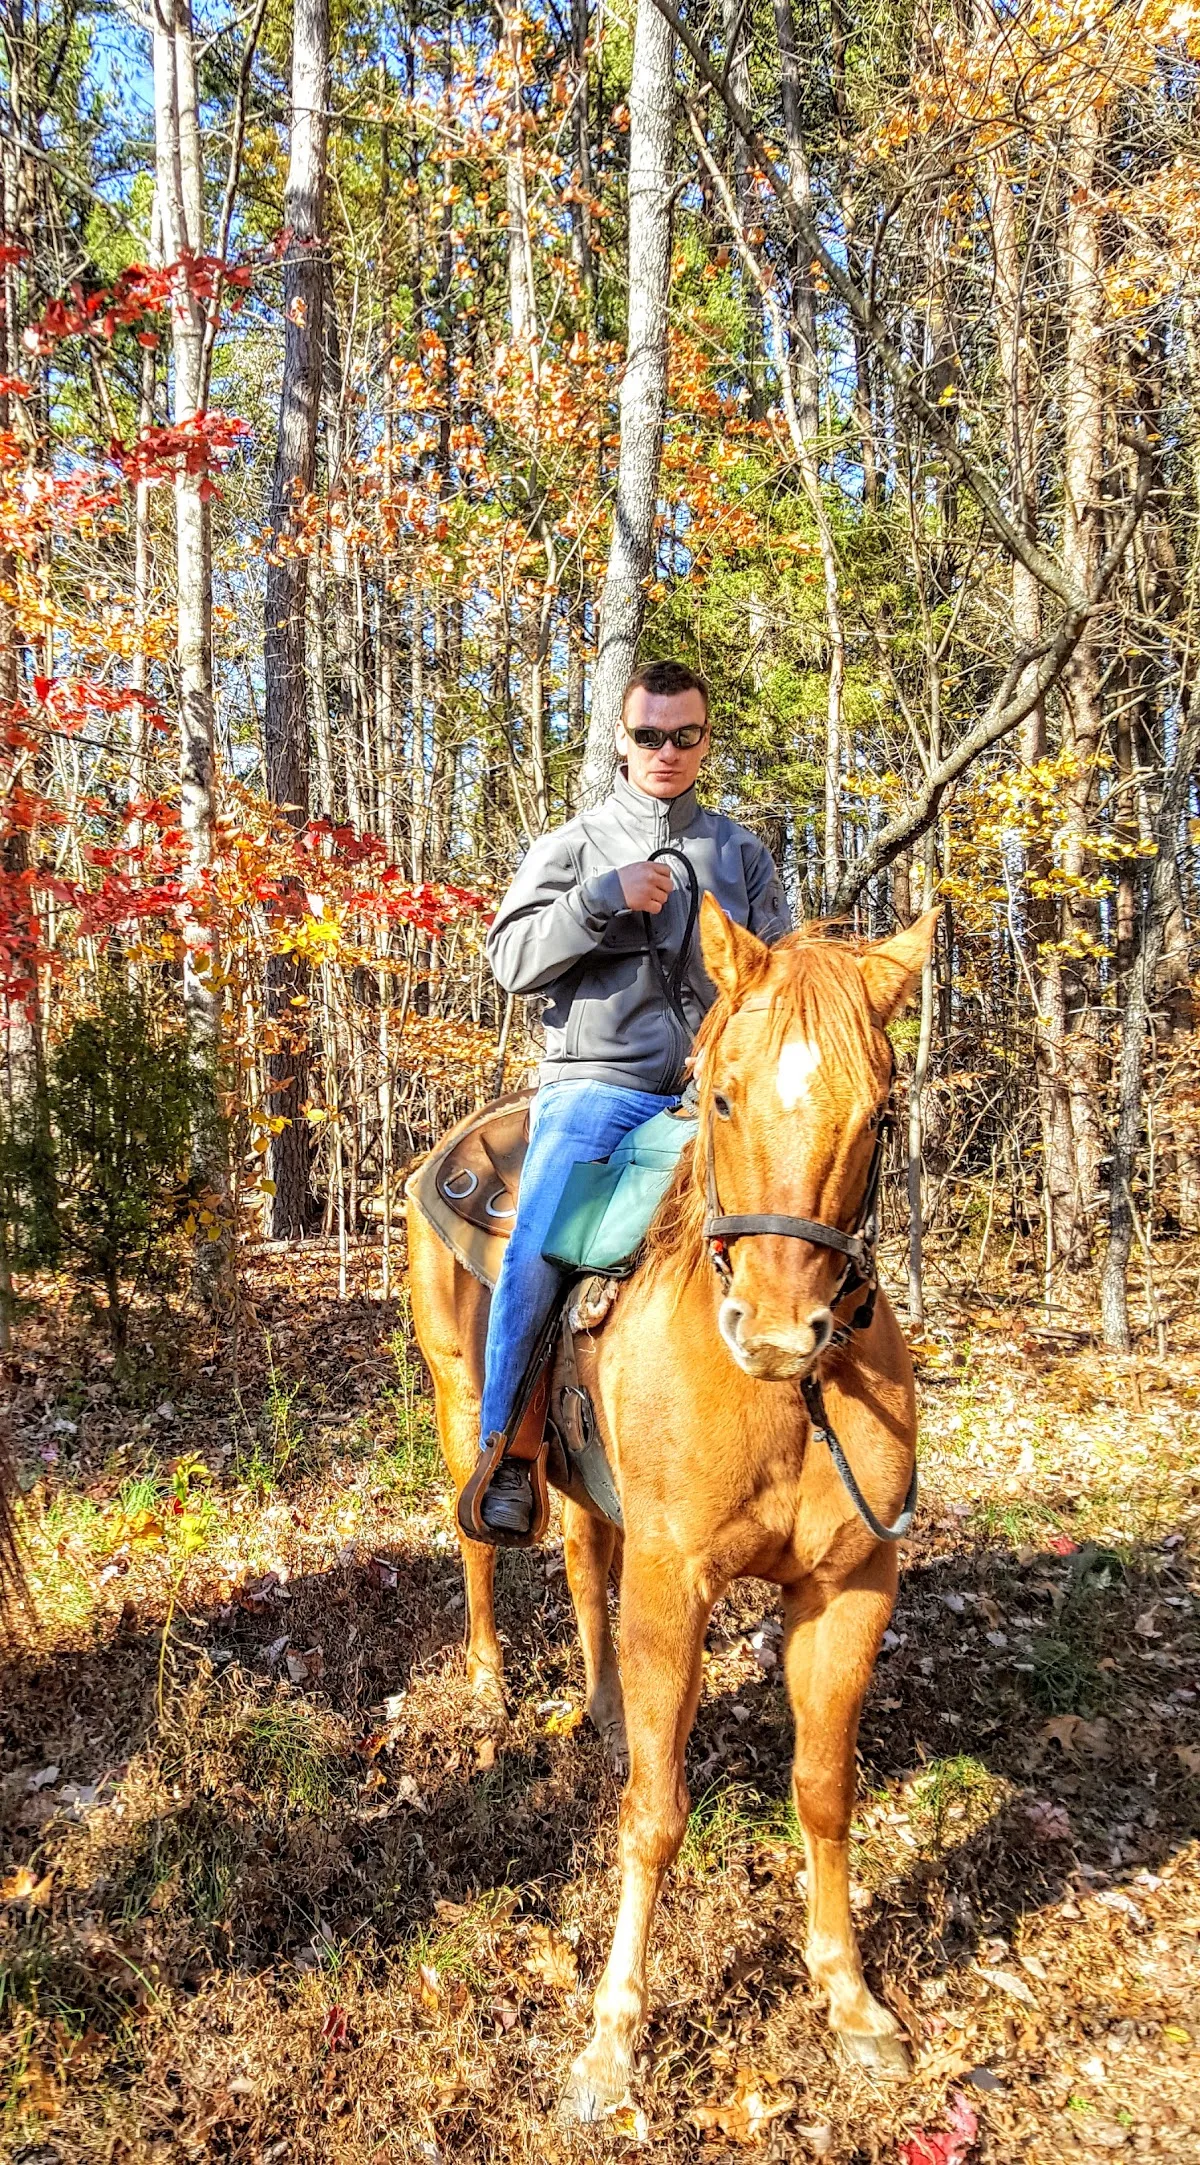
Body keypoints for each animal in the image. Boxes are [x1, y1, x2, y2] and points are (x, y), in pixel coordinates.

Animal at [406, 896, 939, 2119]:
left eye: (879, 1112)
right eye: (725, 1093)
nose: (778, 1330)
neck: (788, 1400)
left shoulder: (852, 1586)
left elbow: (824, 1789)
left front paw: (850, 1999)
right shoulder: (674, 1579)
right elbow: (654, 1812)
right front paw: (612, 2037)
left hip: (584, 1481)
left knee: (579, 1559)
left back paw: (602, 1708)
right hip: (461, 1402)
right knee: (477, 1546)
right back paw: (491, 1678)